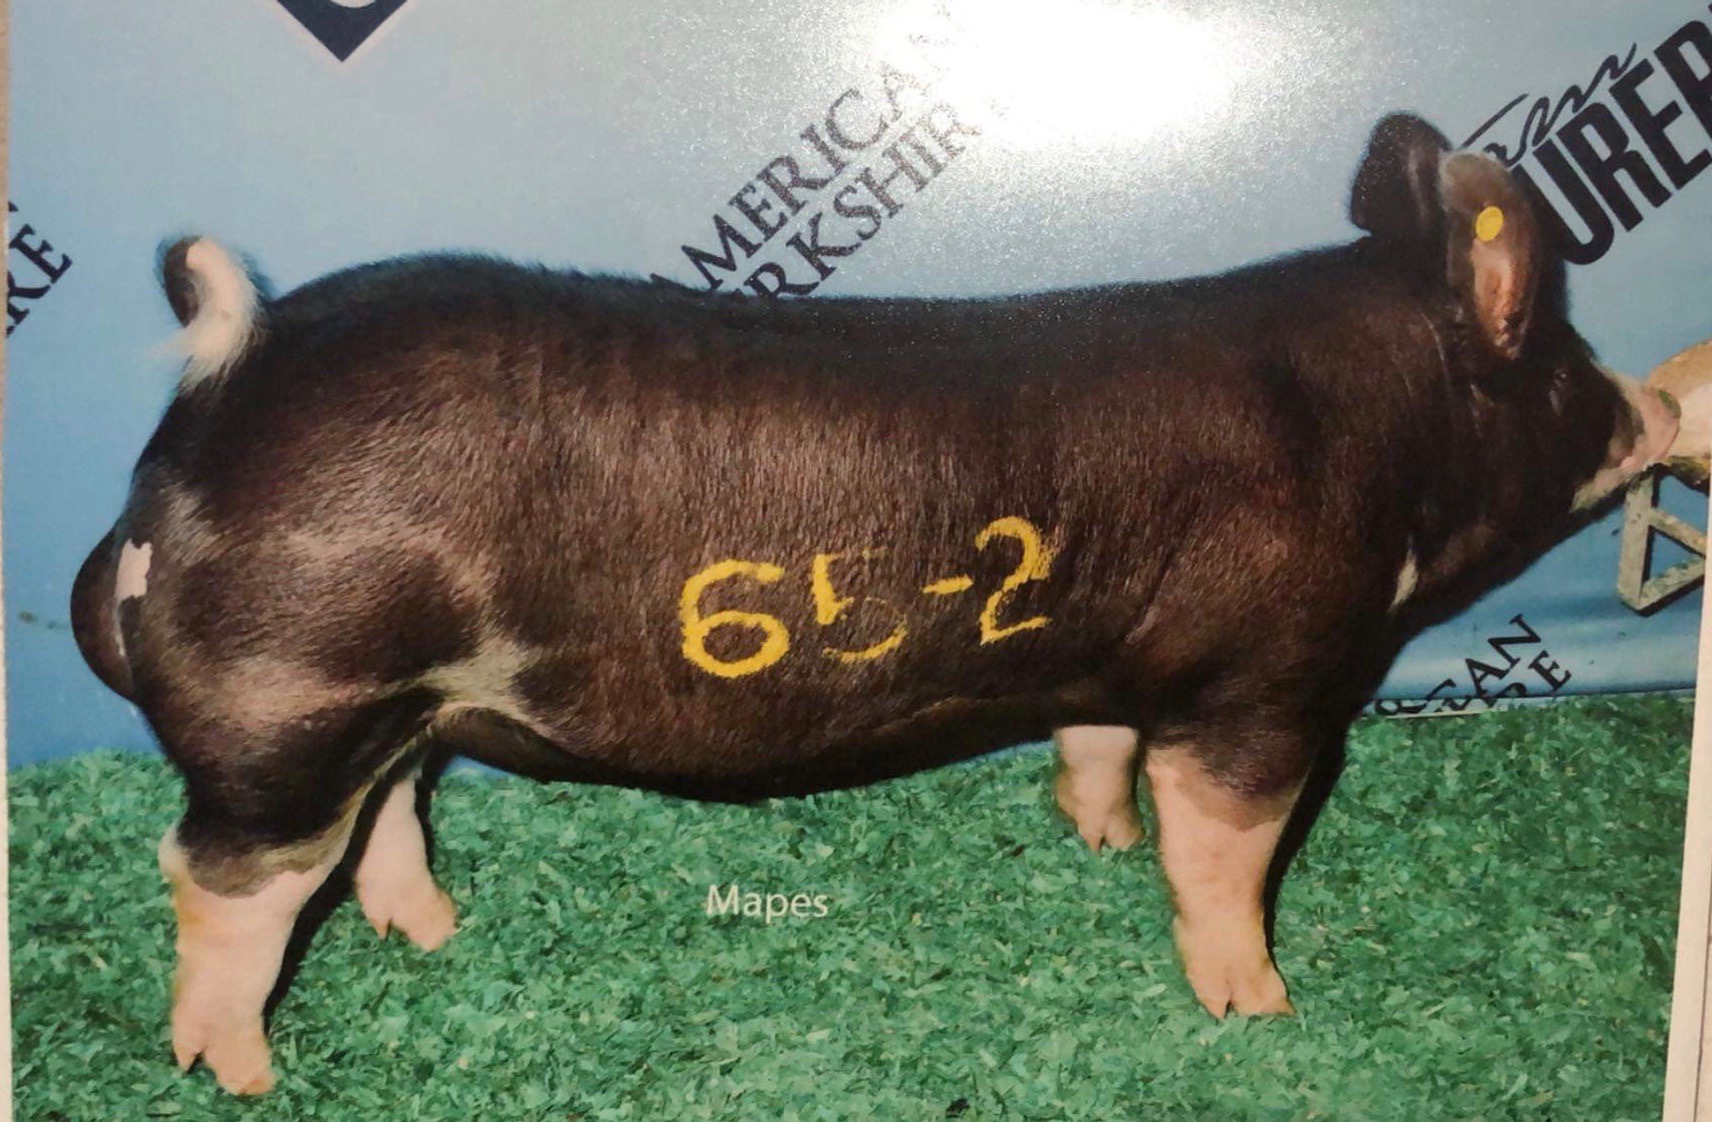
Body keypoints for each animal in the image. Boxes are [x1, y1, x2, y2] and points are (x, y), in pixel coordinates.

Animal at [69, 113, 1678, 1094]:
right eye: (1558, 368)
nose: (1656, 406)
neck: (1380, 429)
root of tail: (226, 384)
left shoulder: (1111, 657)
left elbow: (1096, 745)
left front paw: (1095, 841)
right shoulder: (1271, 681)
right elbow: (1226, 848)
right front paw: (1260, 1008)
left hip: (384, 701)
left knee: (386, 812)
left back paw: (435, 935)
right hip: (289, 697)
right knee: (216, 878)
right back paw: (241, 1073)